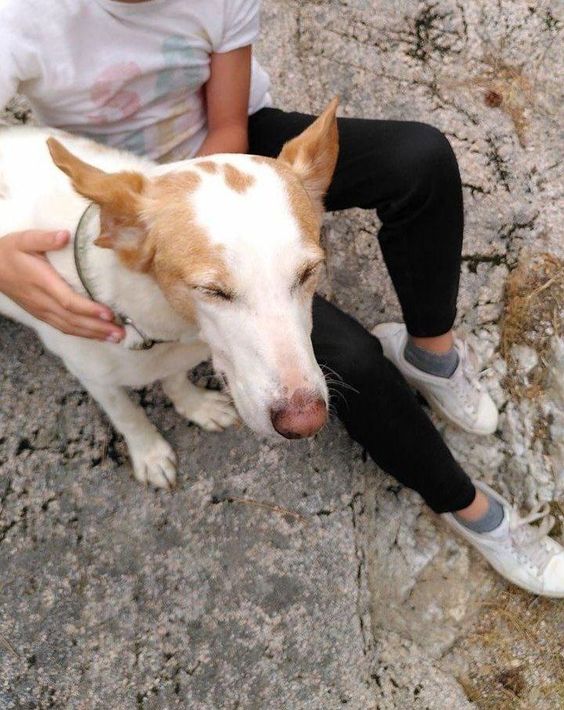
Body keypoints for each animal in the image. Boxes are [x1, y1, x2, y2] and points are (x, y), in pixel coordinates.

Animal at [0, 99, 339, 488]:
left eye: (309, 273)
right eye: (212, 291)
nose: (305, 423)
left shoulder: (178, 354)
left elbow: (175, 381)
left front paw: (196, 406)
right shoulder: (93, 376)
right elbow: (127, 414)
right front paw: (148, 452)